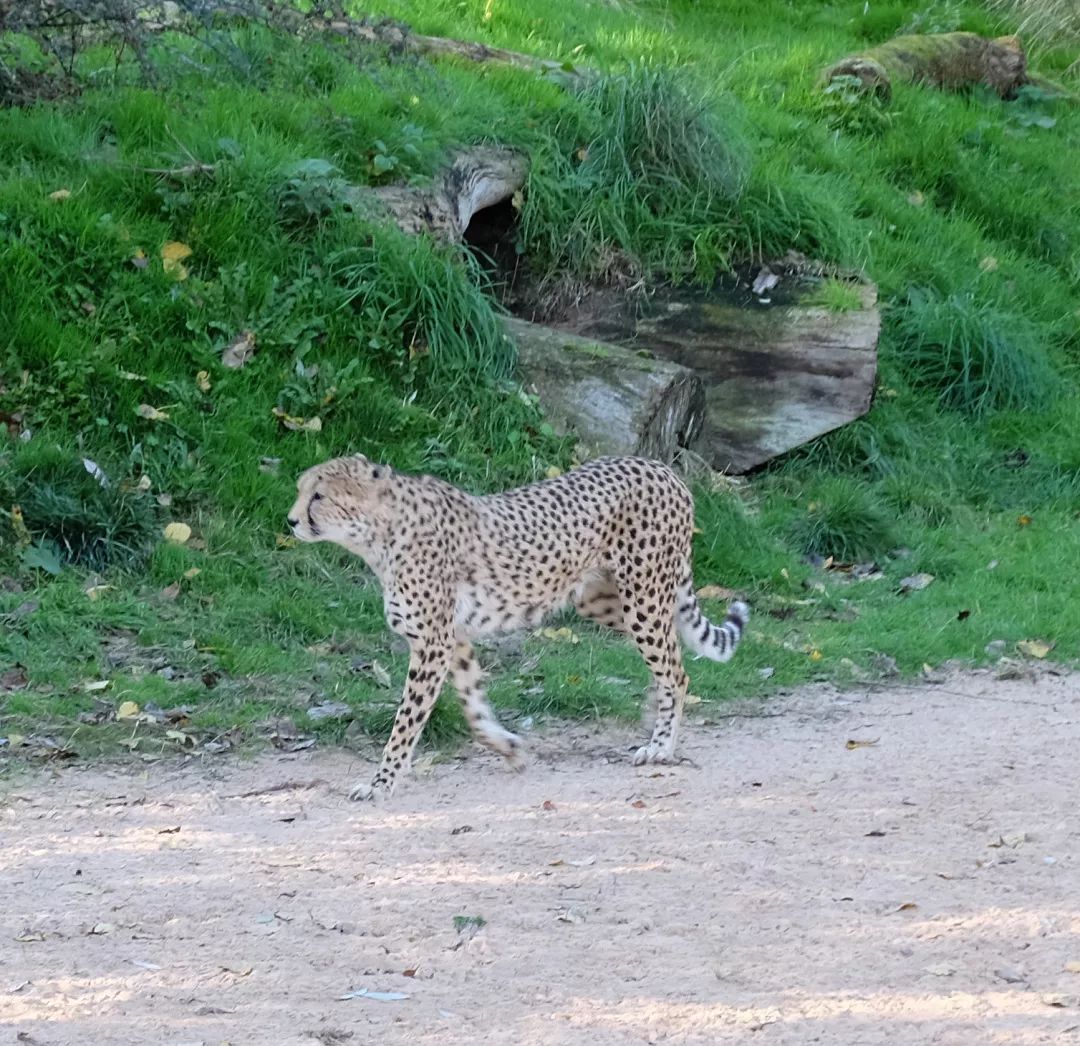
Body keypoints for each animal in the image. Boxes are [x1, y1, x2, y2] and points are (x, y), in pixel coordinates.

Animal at [287, 453, 751, 803]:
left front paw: (381, 784)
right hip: (601, 600)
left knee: (676, 669)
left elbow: (406, 722)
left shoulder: (433, 642)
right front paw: (508, 748)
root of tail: (660, 467)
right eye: (301, 489)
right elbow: (473, 707)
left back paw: (661, 745)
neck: (379, 535)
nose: (290, 521)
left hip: (642, 597)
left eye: (319, 495)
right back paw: (653, 710)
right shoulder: (455, 638)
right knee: (672, 652)